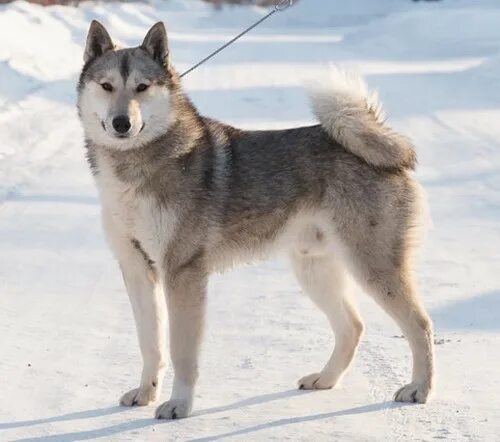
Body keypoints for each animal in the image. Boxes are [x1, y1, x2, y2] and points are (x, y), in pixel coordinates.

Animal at [77, 20, 434, 420]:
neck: (134, 168)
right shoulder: (137, 271)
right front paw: (145, 393)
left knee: (420, 325)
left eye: (142, 87)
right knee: (353, 326)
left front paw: (179, 405)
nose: (121, 123)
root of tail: (389, 149)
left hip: (373, 267)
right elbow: (150, 343)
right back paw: (325, 379)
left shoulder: (182, 275)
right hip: (314, 269)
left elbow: (181, 351)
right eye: (107, 86)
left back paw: (420, 388)